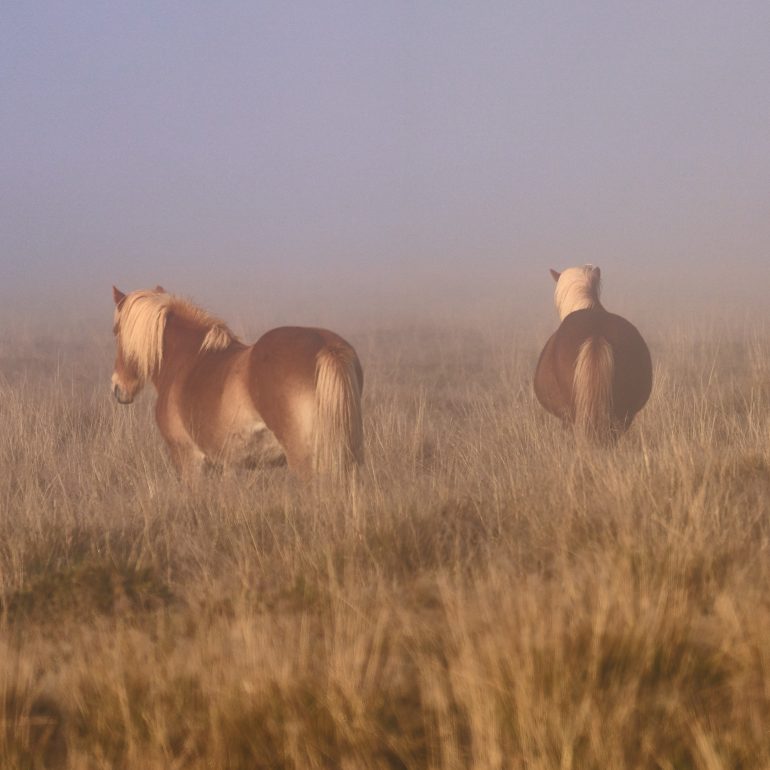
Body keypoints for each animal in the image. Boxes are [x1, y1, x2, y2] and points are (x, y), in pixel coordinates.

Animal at [110, 286, 364, 478]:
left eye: (116, 332)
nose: (117, 388)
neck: (186, 358)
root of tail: (327, 347)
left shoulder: (188, 460)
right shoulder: (228, 466)